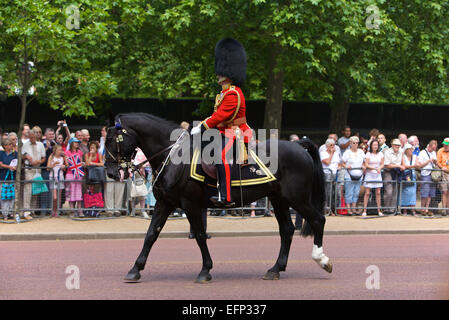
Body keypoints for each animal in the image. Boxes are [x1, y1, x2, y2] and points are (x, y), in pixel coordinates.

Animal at [103, 112, 330, 282]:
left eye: (112, 139)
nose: (111, 173)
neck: (173, 157)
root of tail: (299, 146)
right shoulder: (165, 203)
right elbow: (151, 235)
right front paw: (135, 269)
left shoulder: (190, 204)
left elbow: (200, 235)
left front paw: (205, 270)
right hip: (278, 198)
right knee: (287, 230)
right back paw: (275, 269)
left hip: (297, 198)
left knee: (318, 220)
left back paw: (321, 259)